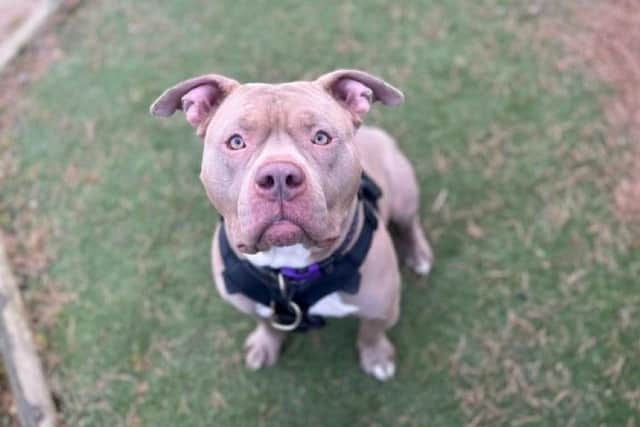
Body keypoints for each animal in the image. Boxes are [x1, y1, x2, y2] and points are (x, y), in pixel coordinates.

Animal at [150, 70, 432, 382]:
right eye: (236, 142)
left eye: (321, 137)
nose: (279, 175)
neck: (288, 268)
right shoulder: (251, 304)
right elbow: (266, 323)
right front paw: (265, 345)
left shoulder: (382, 309)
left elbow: (371, 333)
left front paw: (377, 357)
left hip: (403, 190)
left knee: (409, 223)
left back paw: (418, 255)